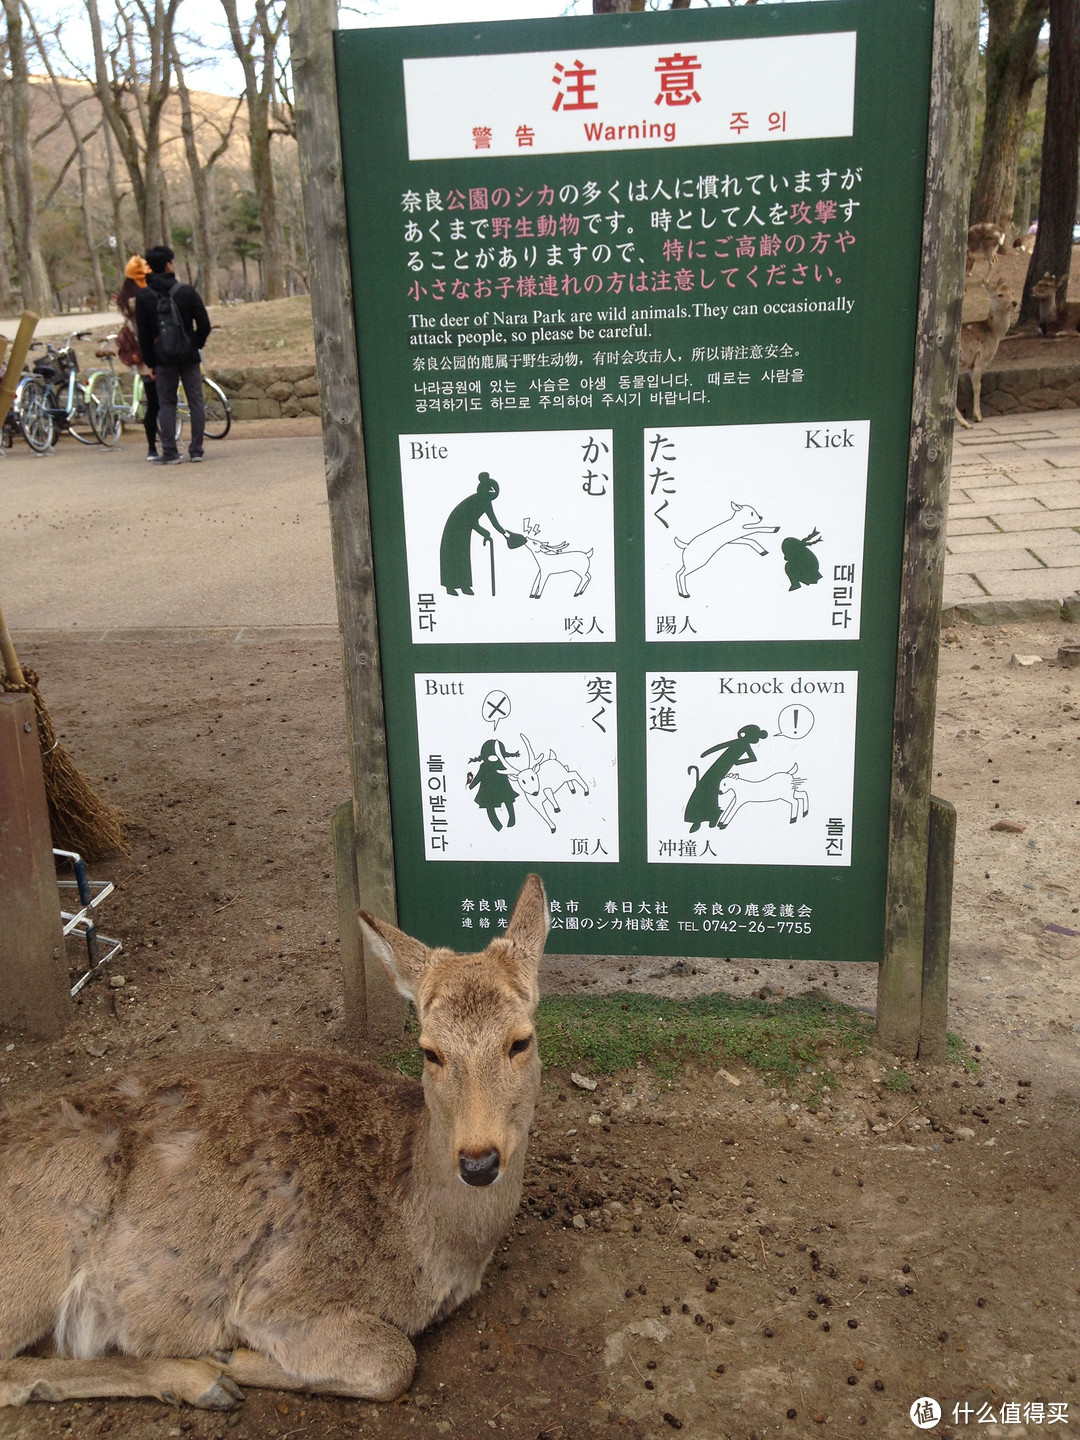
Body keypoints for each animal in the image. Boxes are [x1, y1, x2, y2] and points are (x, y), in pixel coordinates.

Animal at [961, 280, 1019, 426]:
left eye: (1012, 292)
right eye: (1000, 294)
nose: (1014, 302)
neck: (994, 334)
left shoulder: (971, 364)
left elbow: (973, 385)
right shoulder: (981, 358)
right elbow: (977, 386)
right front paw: (978, 416)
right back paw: (965, 423)